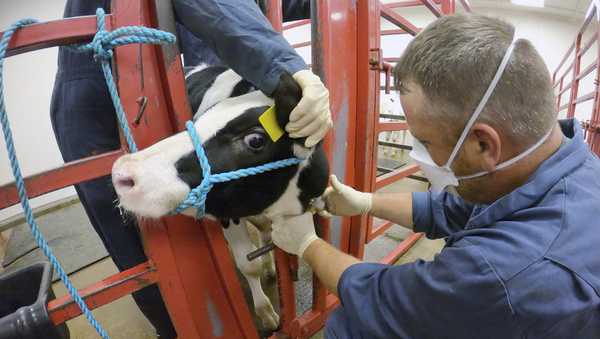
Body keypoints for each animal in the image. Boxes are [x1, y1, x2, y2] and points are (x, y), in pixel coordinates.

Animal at [110, 63, 330, 332]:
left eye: (256, 139)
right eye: (197, 120)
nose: (123, 173)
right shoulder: (227, 214)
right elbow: (249, 264)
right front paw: (265, 312)